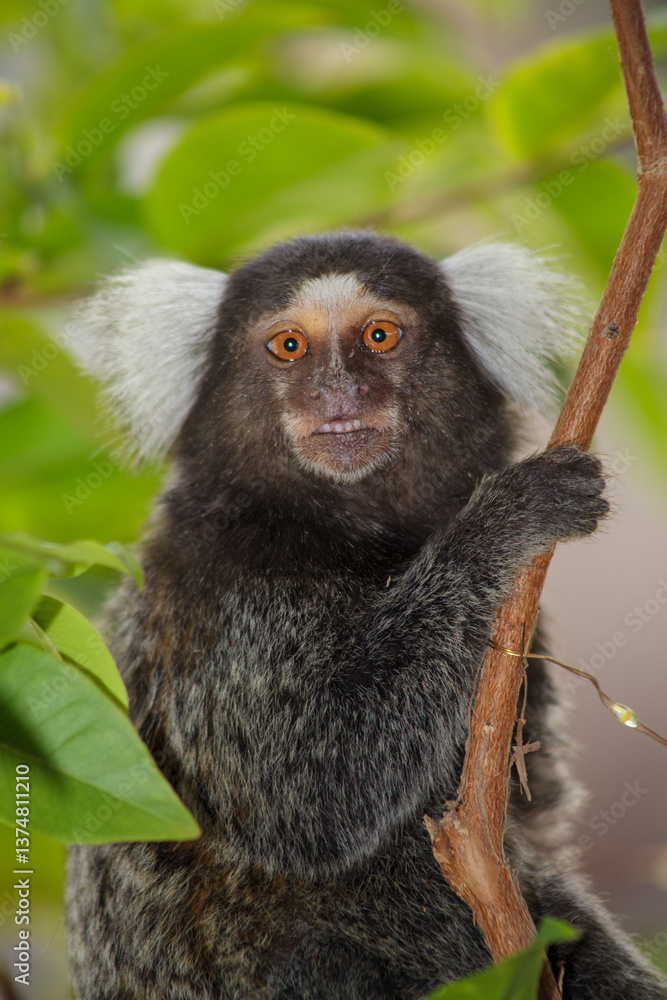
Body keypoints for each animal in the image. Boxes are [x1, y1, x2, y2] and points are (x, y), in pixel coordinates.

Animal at [65, 231, 667, 1000]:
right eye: (289, 346)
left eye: (380, 336)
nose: (339, 391)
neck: (339, 528)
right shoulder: (216, 600)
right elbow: (310, 791)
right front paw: (502, 523)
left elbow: (527, 808)